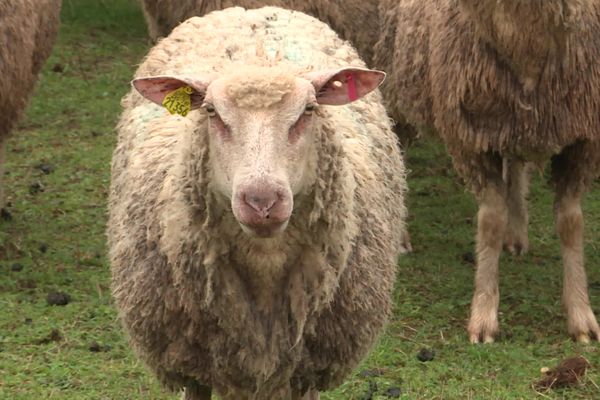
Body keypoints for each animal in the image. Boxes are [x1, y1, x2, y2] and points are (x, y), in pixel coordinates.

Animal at [376, 0, 600, 344]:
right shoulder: (472, 138)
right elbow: (491, 222)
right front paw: (484, 314)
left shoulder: (583, 138)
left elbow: (571, 224)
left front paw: (580, 313)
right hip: (397, 83)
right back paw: (400, 237)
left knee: (515, 165)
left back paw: (517, 232)